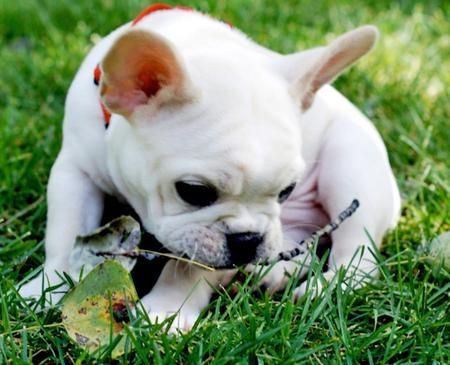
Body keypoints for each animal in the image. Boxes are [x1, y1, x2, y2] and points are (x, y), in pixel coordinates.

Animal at [20, 6, 400, 330]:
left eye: (287, 190)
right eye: (193, 191)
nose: (247, 240)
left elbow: (187, 268)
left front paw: (165, 311)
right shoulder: (75, 172)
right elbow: (66, 234)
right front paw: (48, 287)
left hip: (349, 163)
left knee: (358, 254)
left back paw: (321, 287)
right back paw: (274, 272)